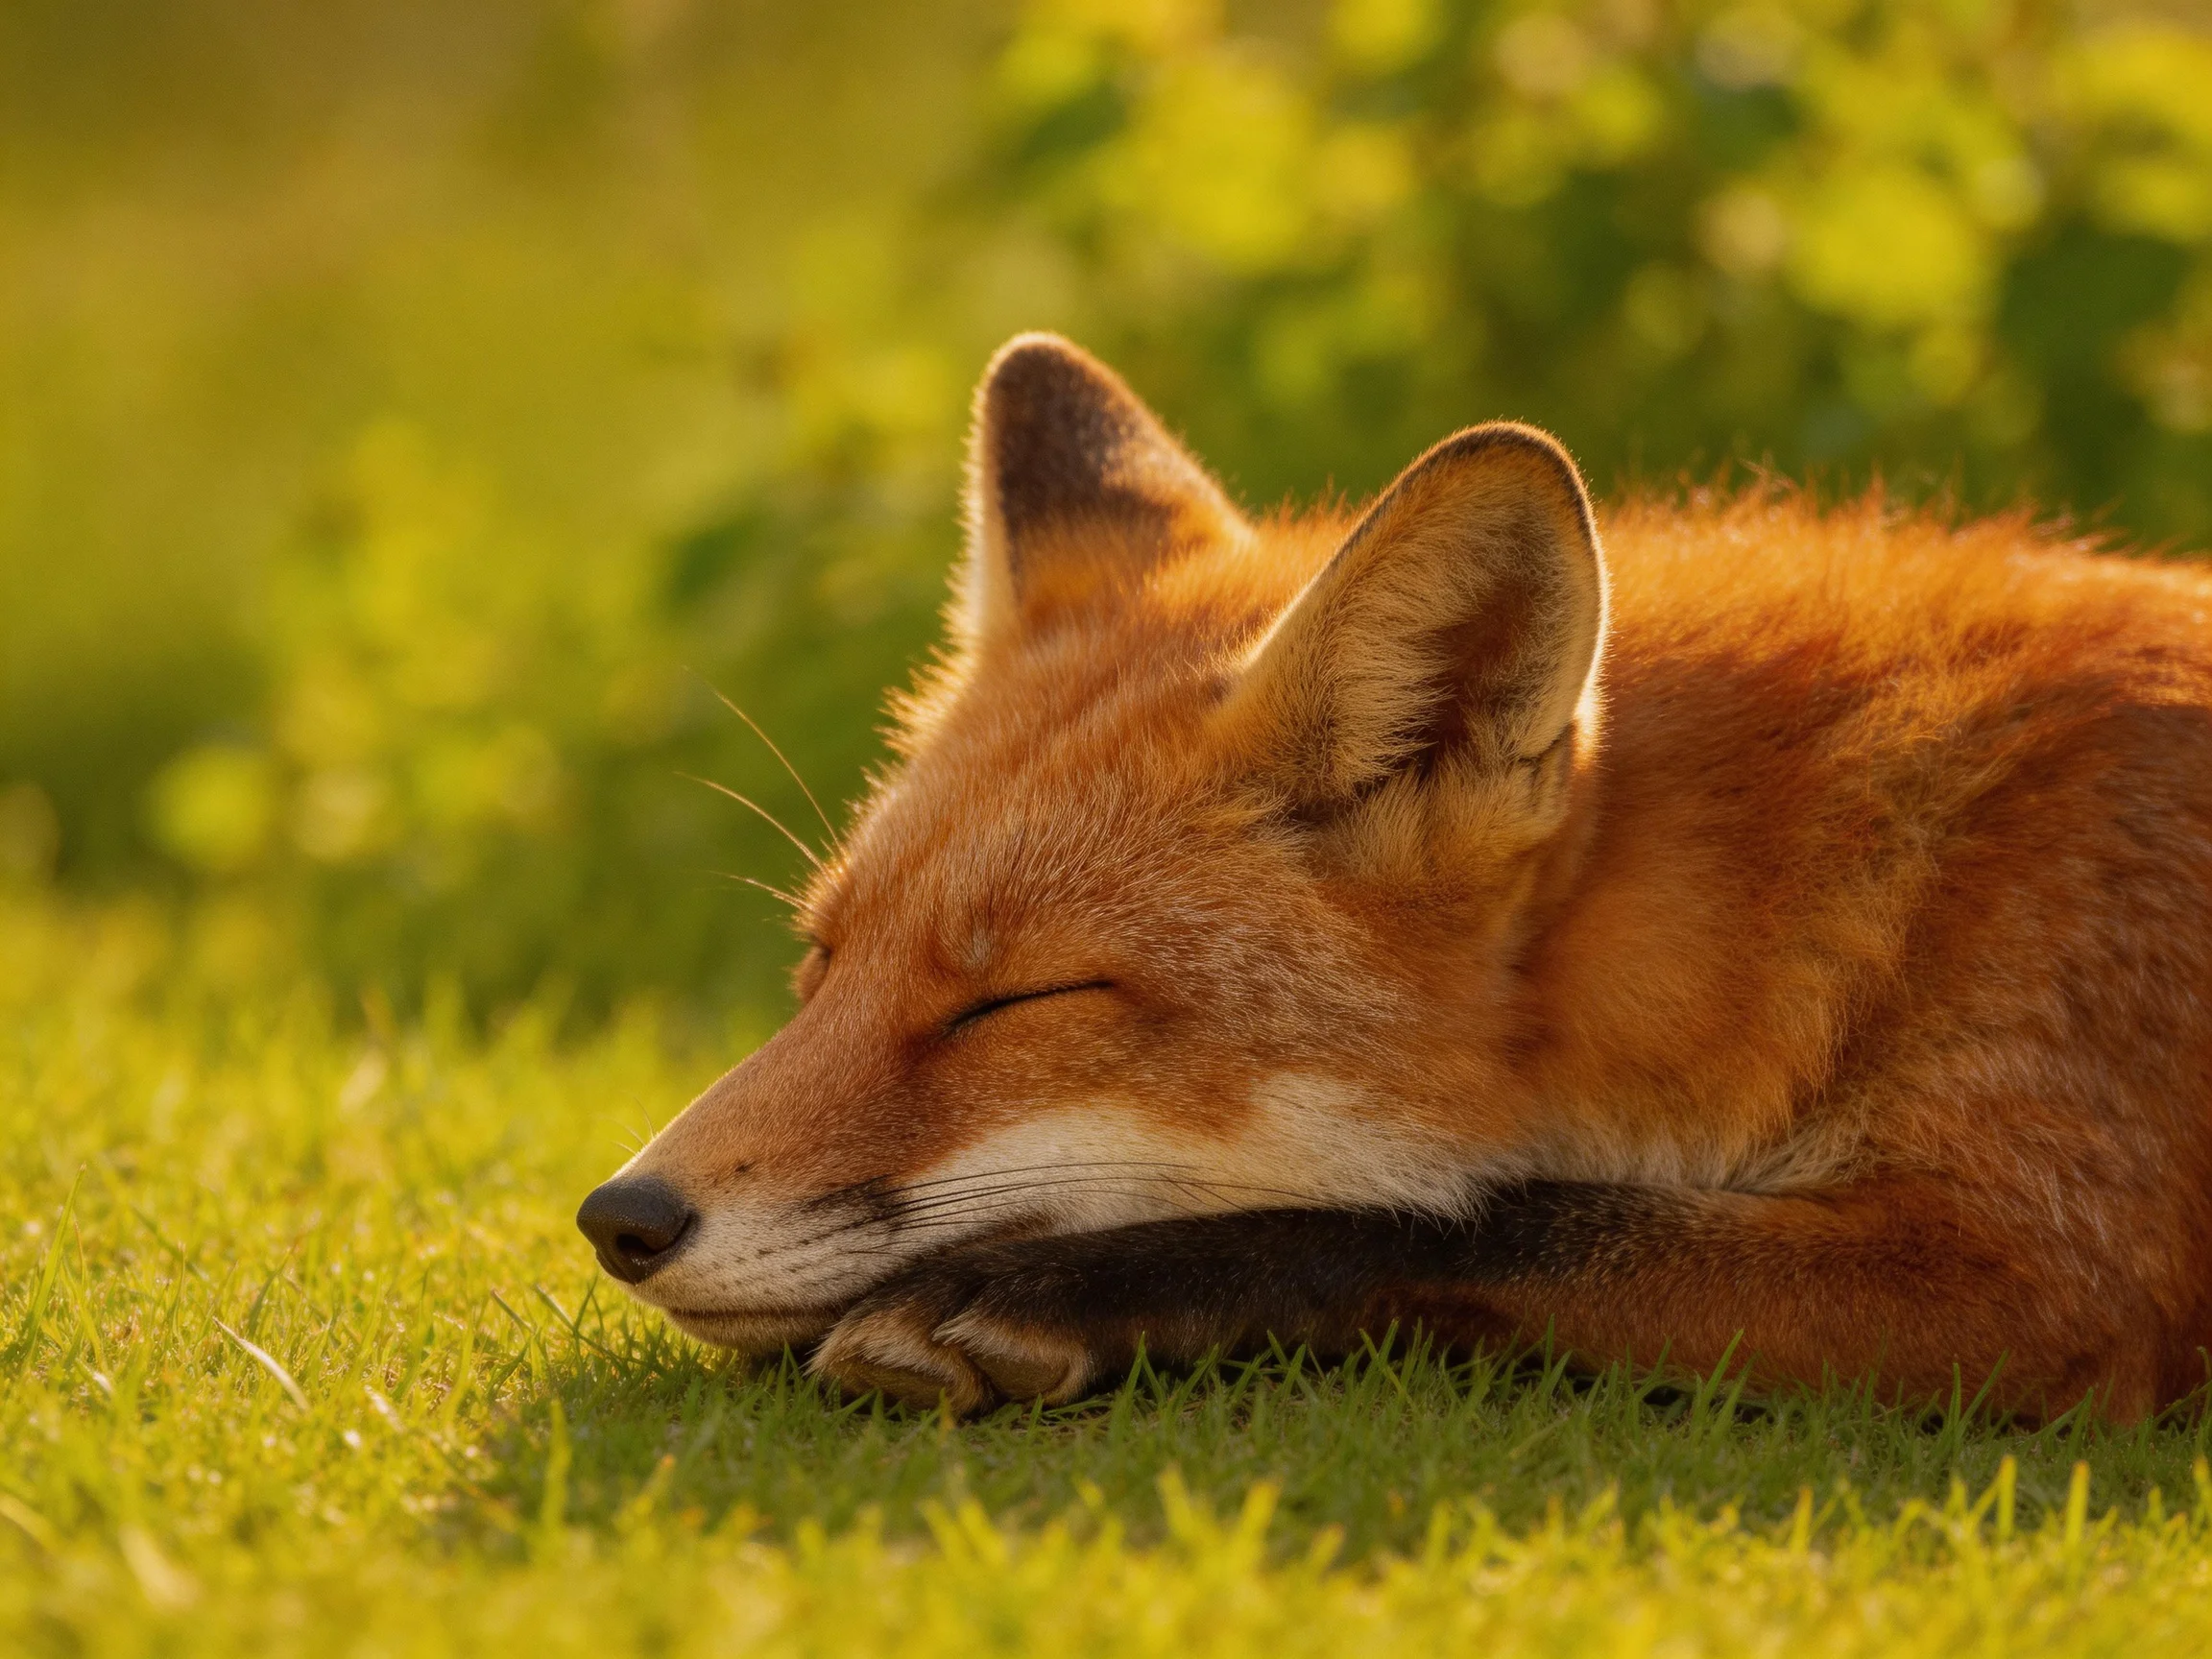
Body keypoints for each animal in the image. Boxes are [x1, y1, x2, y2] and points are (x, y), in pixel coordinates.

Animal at [577, 331, 2212, 1422]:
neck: (1885, 897)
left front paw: (1049, 1299)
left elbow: (1505, 1216)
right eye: (819, 966)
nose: (620, 1220)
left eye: (1018, 1003)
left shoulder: (2041, 1271)